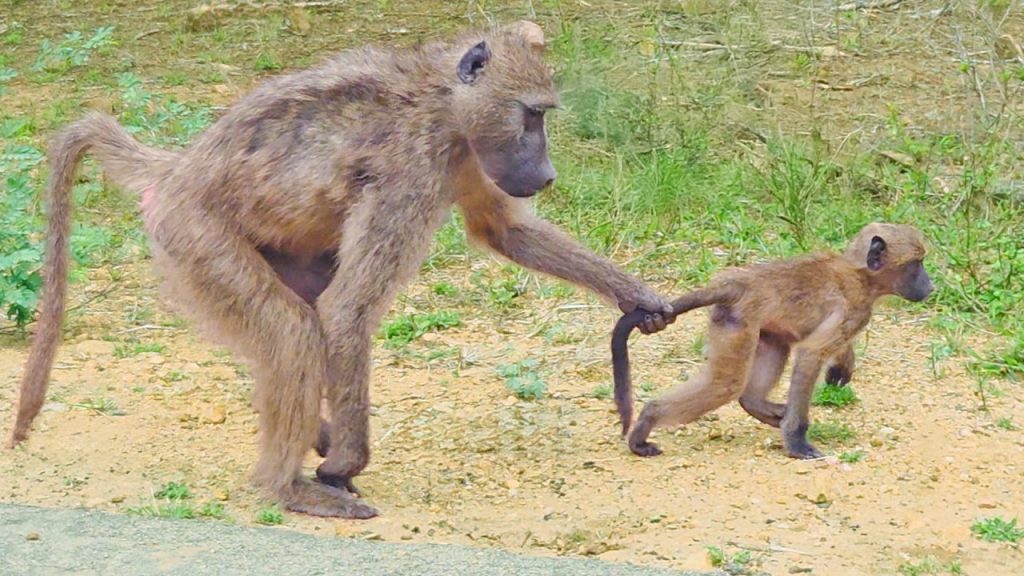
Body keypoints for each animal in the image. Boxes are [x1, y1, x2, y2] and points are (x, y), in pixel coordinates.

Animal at [7, 21, 672, 519]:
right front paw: (347, 462)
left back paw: (313, 438)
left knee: (297, 325)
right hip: (194, 235)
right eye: (532, 115)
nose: (548, 174)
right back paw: (288, 486)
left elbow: (504, 232)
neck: (443, 100)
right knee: (295, 331)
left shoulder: (464, 153)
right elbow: (350, 310)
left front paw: (637, 296)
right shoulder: (413, 165)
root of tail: (176, 170)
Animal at [610, 223, 933, 459]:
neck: (861, 274)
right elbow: (811, 353)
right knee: (725, 385)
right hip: (737, 324)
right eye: (916, 264)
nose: (931, 286)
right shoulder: (854, 308)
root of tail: (737, 285)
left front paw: (844, 363)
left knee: (771, 354)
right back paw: (647, 422)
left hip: (755, 329)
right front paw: (796, 441)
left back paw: (761, 407)